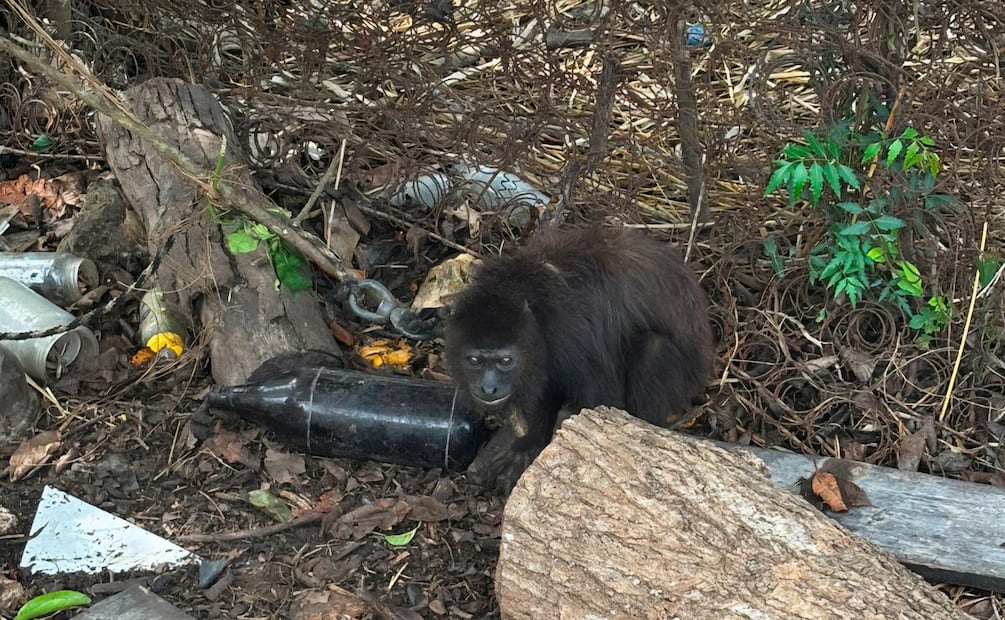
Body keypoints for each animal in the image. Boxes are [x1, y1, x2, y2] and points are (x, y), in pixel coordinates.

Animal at [444, 226, 714, 488]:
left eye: (505, 361)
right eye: (474, 361)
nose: (488, 387)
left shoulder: (571, 337)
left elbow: (603, 402)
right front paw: (527, 445)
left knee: (654, 348)